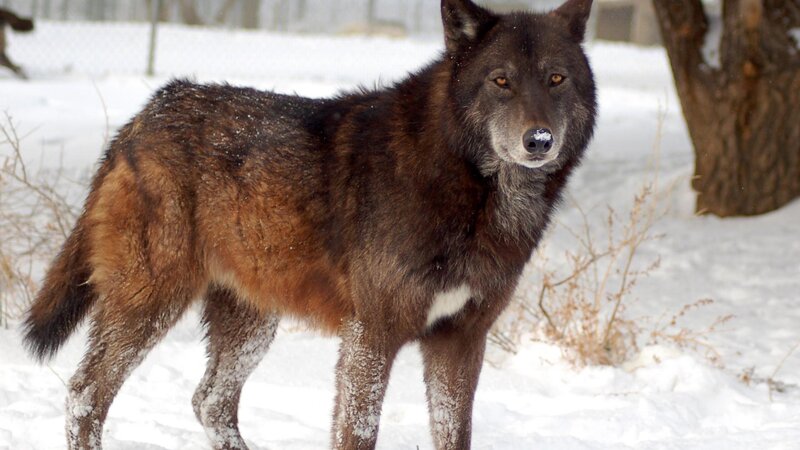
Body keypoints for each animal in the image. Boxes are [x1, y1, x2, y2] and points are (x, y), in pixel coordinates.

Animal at [22, 0, 596, 448]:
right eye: (501, 81)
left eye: (556, 79)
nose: (539, 141)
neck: (465, 184)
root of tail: (148, 111)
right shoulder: (372, 334)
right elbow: (358, 432)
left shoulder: (461, 339)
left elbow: (456, 435)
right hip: (152, 303)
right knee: (86, 394)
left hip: (252, 324)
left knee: (210, 402)